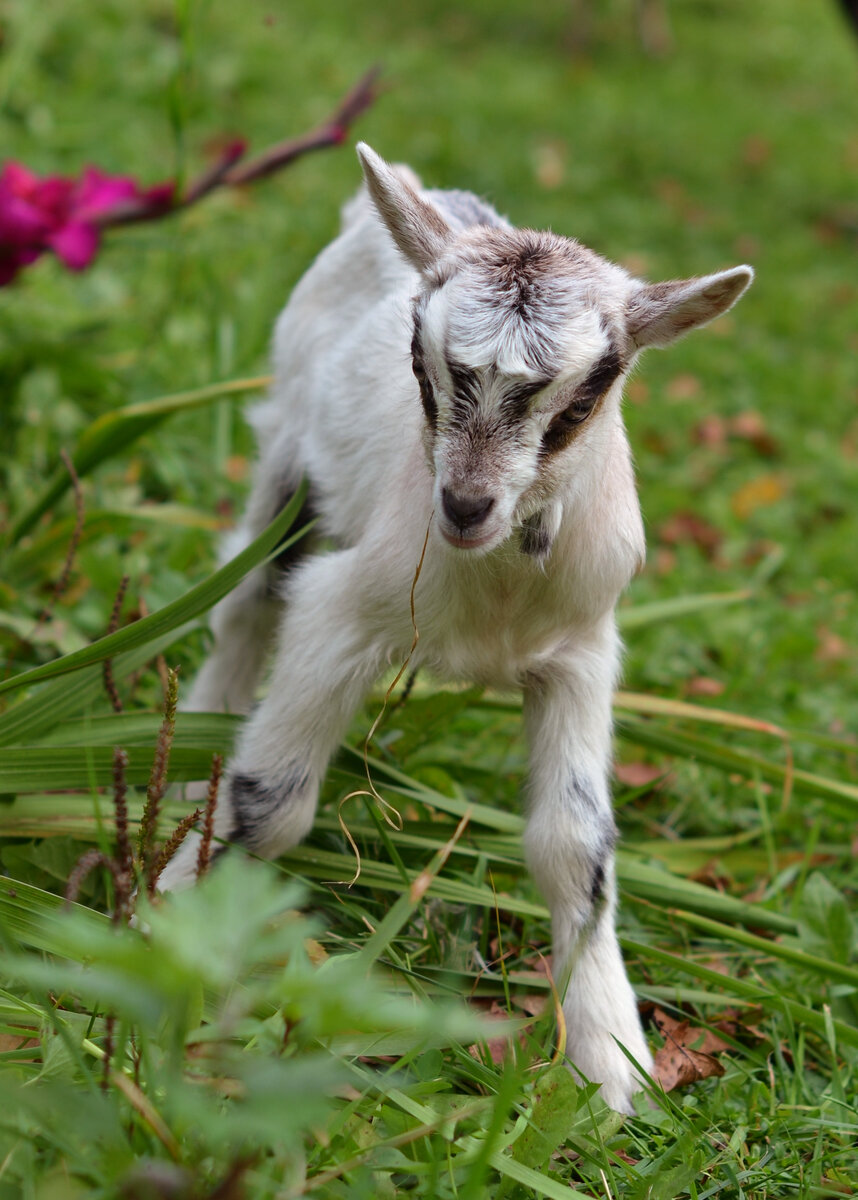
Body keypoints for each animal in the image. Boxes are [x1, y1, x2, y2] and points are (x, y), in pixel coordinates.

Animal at [157, 145, 753, 1108]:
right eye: (419, 359)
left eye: (584, 398)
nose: (465, 506)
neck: (497, 589)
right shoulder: (342, 613)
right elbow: (271, 800)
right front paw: (162, 929)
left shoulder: (582, 655)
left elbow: (574, 848)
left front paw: (612, 1065)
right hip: (287, 446)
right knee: (245, 600)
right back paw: (186, 778)